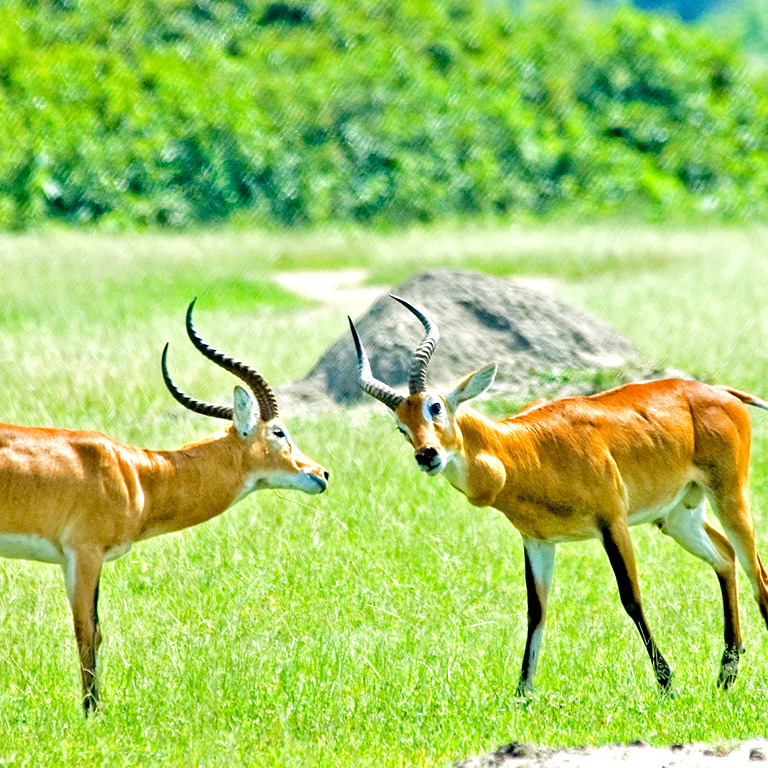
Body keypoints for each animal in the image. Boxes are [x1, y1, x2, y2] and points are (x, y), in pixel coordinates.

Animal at [0, 302, 328, 712]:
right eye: (279, 432)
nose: (321, 473)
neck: (139, 475)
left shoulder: (71, 560)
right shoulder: (84, 553)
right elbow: (88, 630)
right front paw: (92, 711)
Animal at [350, 294, 768, 696]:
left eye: (434, 406)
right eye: (401, 427)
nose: (427, 455)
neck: (525, 449)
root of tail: (717, 390)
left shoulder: (612, 523)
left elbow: (631, 597)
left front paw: (667, 684)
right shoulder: (537, 541)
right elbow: (536, 610)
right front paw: (523, 692)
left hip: (729, 496)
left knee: (755, 570)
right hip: (679, 516)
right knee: (725, 557)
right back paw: (726, 674)